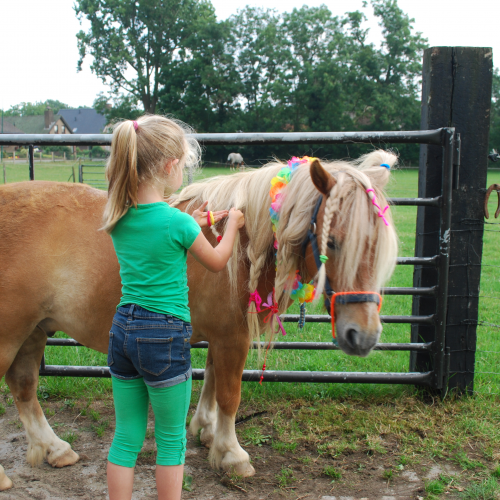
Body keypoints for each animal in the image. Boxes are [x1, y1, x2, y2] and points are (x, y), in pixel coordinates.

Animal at [0, 151, 398, 488]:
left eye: (380, 247)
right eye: (332, 242)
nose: (363, 335)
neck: (243, 244)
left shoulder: (221, 336)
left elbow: (211, 381)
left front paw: (206, 430)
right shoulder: (232, 336)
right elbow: (229, 394)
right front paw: (231, 454)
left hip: (33, 331)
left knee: (24, 386)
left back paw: (54, 448)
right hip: (11, 335)